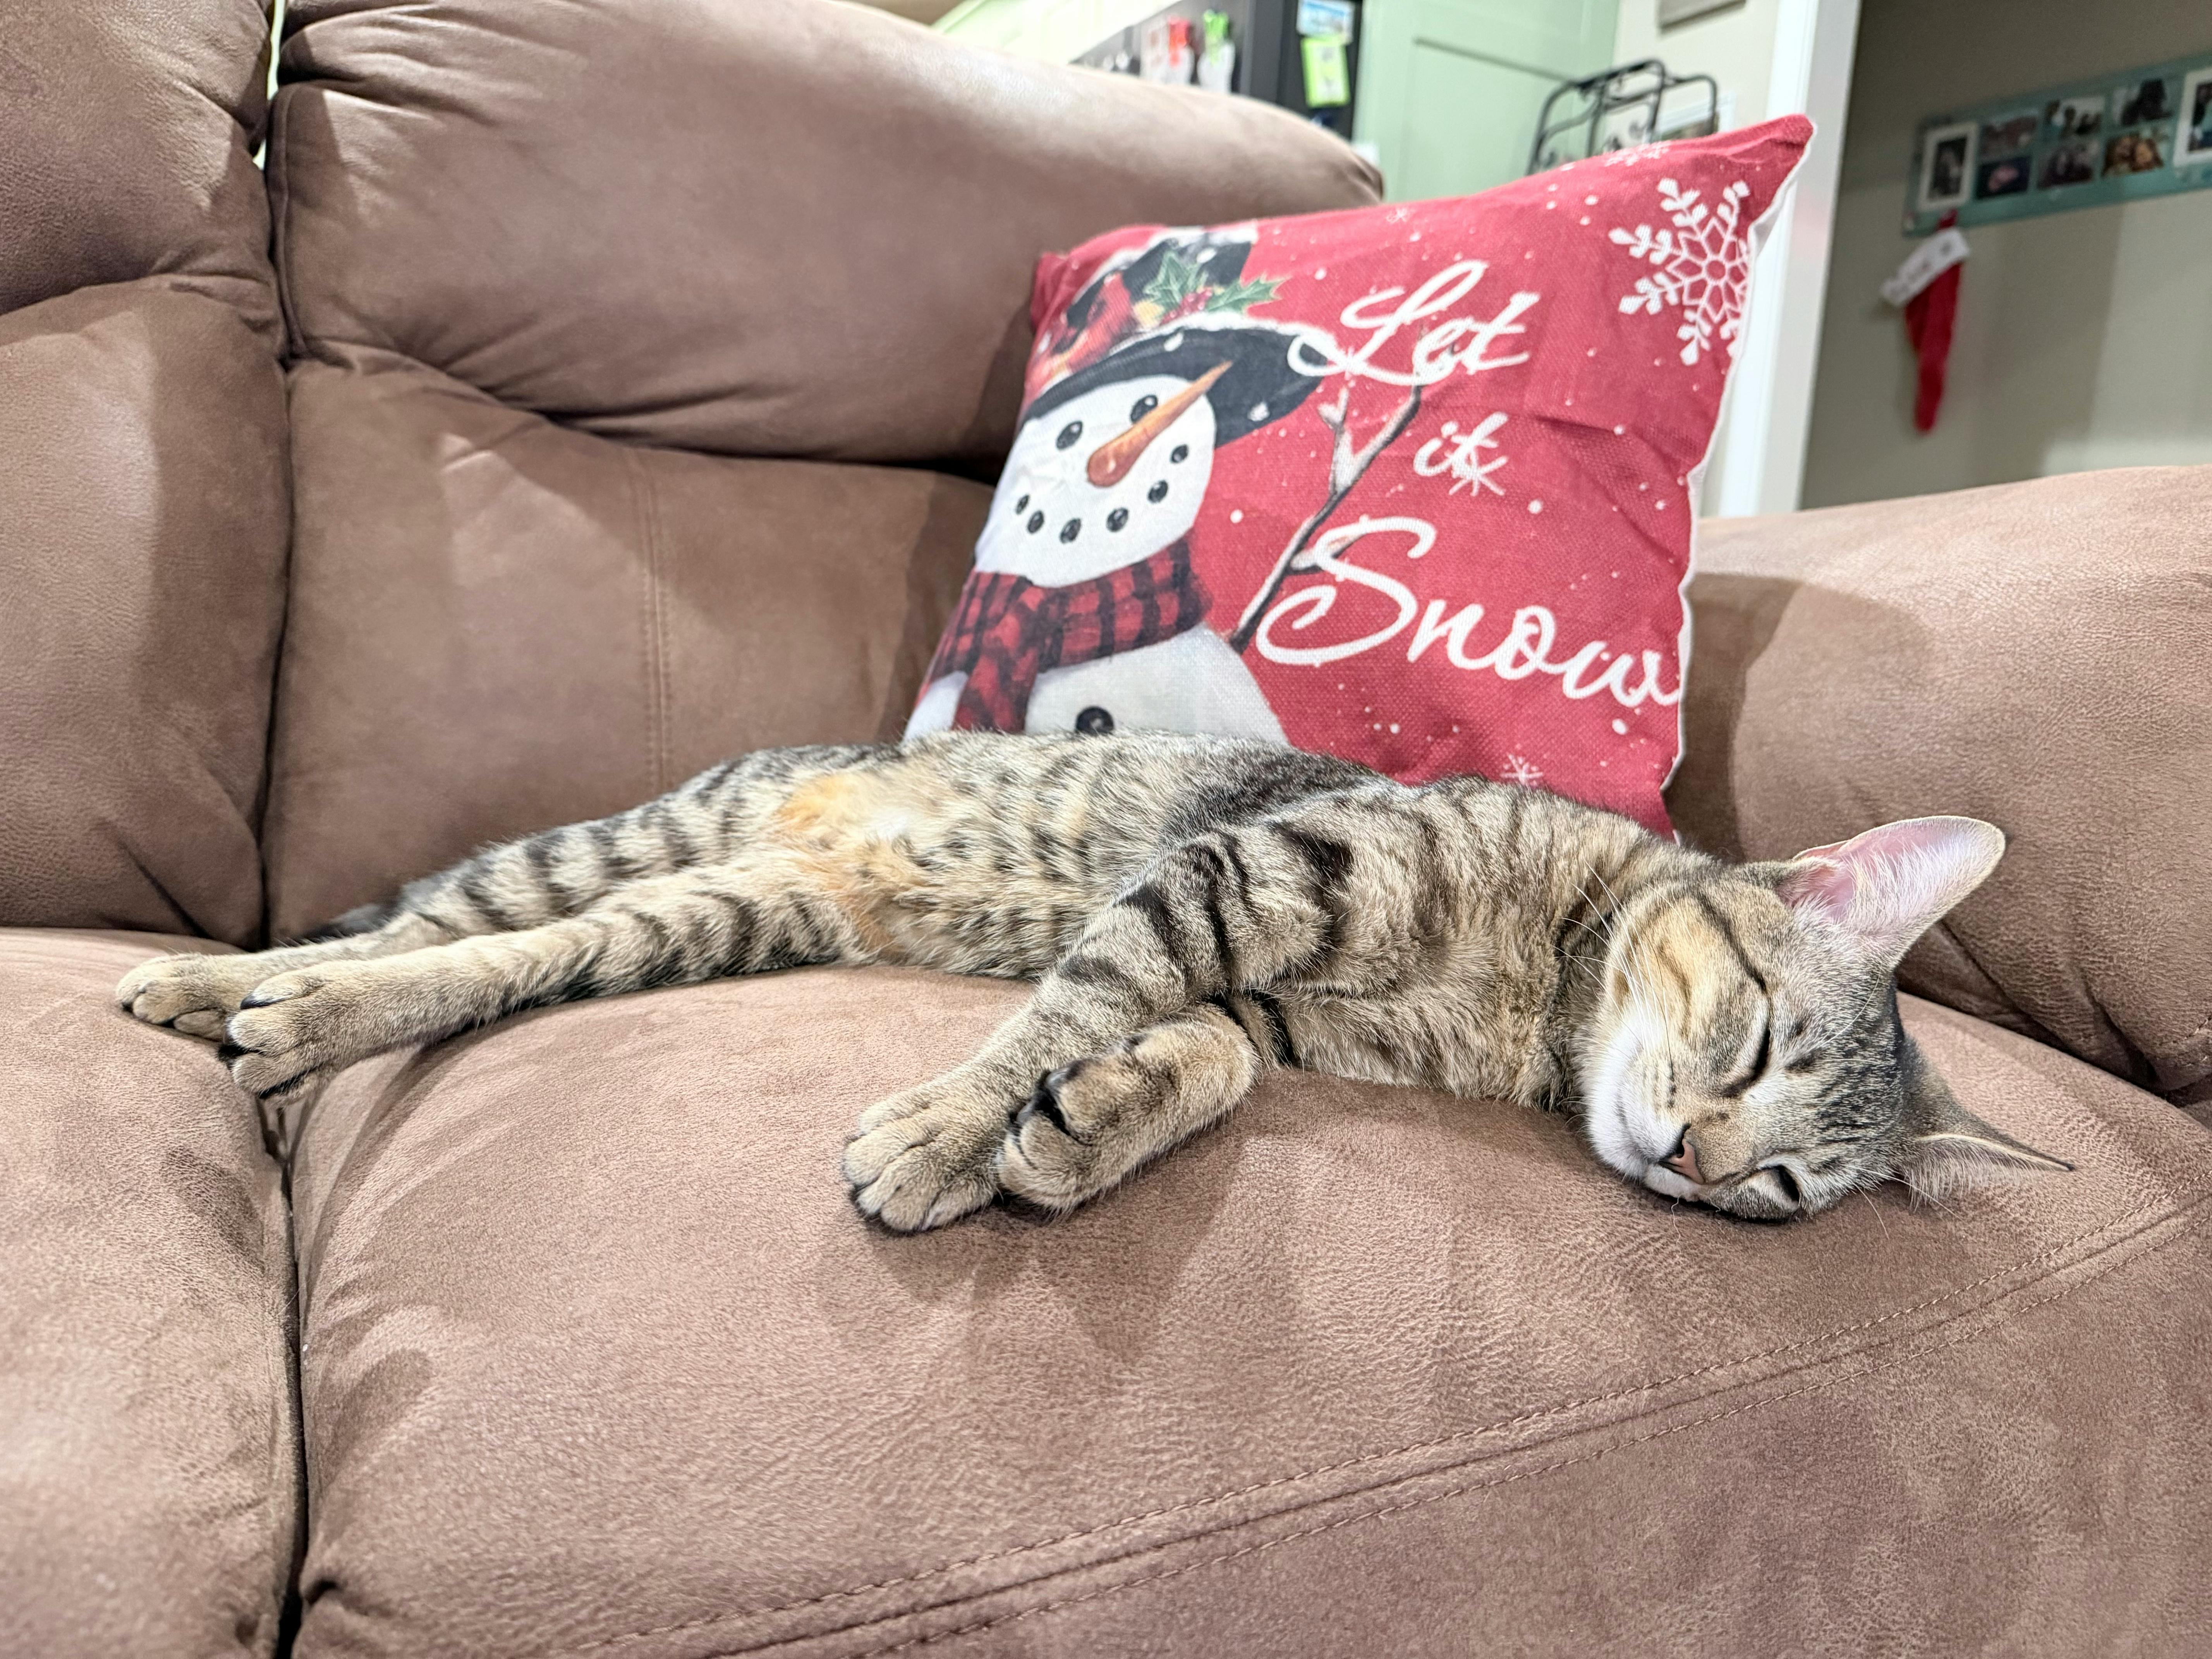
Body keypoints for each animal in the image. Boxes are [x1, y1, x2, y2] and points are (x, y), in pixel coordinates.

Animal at [116, 729, 2067, 1230]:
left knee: (510, 957)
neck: (1546, 995)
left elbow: (1199, 1062)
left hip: (715, 910)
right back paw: (232, 988)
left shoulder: (1275, 1003)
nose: (1691, 1162)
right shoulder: (1244, 876)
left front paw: (1082, 1131)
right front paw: (949, 1129)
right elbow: (1067, 1004)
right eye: (1753, 1040)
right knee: (416, 927)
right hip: (625, 843)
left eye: (1784, 1192)